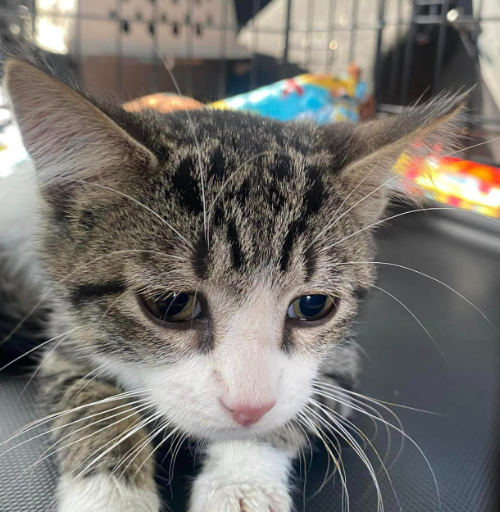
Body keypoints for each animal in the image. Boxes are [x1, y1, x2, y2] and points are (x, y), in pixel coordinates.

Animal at [1, 61, 462, 512]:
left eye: (313, 305)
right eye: (172, 304)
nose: (247, 406)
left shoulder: (340, 360)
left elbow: (296, 406)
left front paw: (242, 484)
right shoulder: (67, 332)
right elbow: (88, 401)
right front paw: (113, 496)